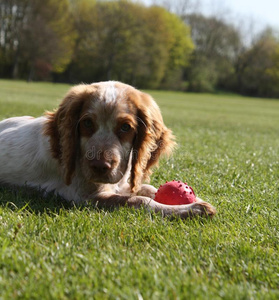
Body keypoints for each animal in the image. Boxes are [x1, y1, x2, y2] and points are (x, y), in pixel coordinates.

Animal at [0, 81, 217, 218]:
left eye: (125, 127)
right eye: (87, 123)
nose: (99, 166)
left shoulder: (120, 184)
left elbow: (148, 189)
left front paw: (192, 199)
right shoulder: (87, 197)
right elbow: (139, 200)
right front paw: (192, 209)